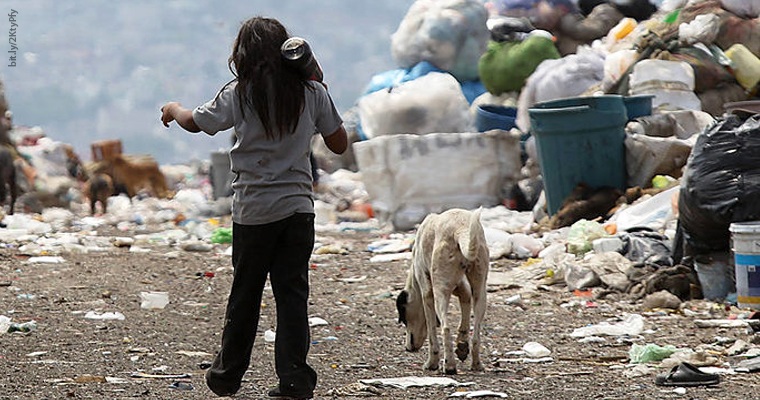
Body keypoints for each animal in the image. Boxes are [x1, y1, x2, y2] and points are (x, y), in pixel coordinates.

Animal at [394, 208, 490, 374]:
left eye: (404, 319)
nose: (408, 348)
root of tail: (461, 229)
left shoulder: (427, 294)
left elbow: (432, 332)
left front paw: (432, 362)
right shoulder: (461, 287)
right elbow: (465, 306)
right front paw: (462, 345)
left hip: (440, 292)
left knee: (445, 328)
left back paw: (449, 365)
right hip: (480, 291)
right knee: (476, 334)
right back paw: (476, 364)